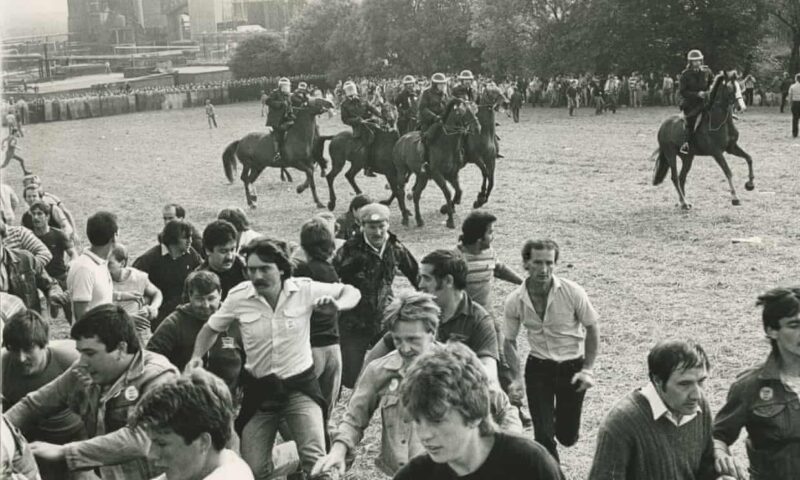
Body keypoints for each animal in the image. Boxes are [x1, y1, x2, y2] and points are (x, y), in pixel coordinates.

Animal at [390, 97, 478, 229]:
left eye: (474, 110)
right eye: (462, 112)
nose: (477, 127)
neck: (446, 144)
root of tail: (401, 139)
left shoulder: (452, 174)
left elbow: (459, 191)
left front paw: (449, 207)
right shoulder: (437, 175)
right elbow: (447, 193)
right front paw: (450, 220)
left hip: (422, 176)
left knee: (416, 195)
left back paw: (419, 219)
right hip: (402, 170)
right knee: (401, 192)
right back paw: (405, 217)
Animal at [652, 70, 752, 209]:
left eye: (740, 87)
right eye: (730, 89)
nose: (742, 107)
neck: (720, 121)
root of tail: (663, 126)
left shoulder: (731, 148)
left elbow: (749, 158)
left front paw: (750, 184)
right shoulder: (717, 153)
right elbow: (728, 171)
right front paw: (735, 198)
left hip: (688, 157)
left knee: (682, 177)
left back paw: (683, 202)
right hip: (670, 154)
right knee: (675, 177)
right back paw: (684, 203)